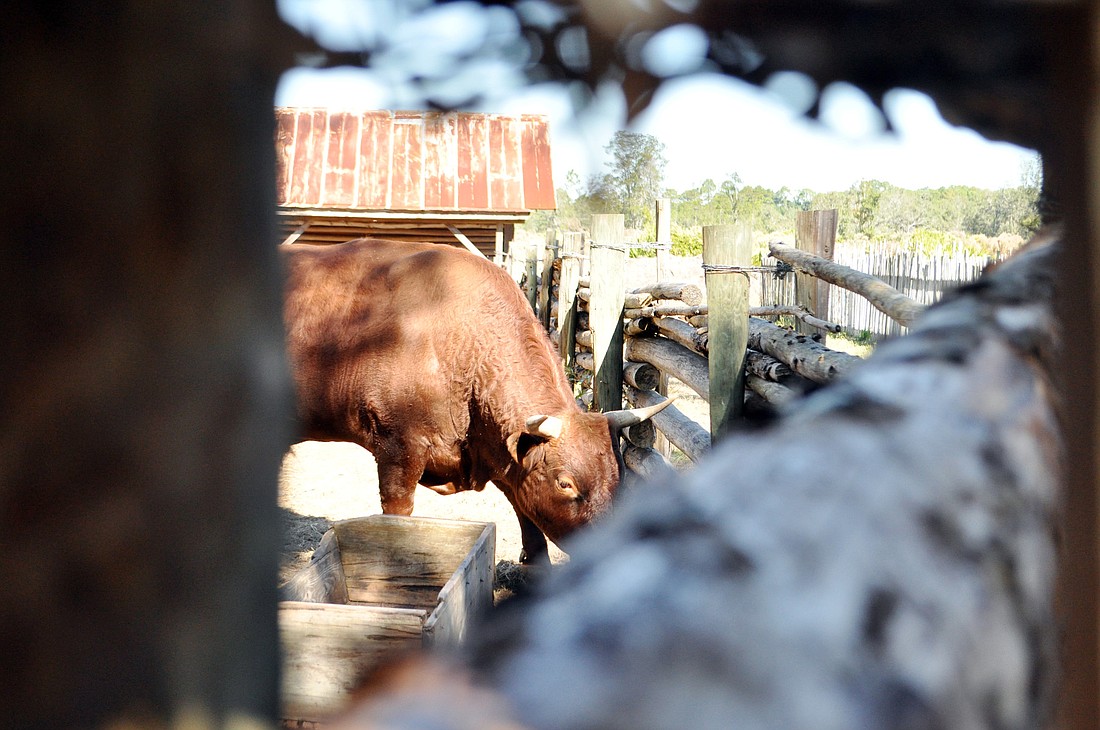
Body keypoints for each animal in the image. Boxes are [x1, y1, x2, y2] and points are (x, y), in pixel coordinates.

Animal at [281, 239, 668, 562]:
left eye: (619, 477)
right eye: (565, 483)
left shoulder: (502, 455)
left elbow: (530, 526)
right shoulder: (397, 450)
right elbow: (398, 517)